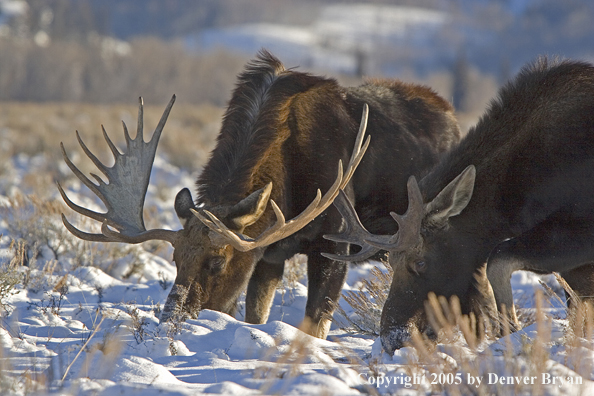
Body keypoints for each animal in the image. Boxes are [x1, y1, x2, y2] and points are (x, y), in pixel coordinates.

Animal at [59, 51, 458, 338]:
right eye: (174, 258)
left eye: (217, 261)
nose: (171, 320)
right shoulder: (269, 254)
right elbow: (256, 315)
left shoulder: (337, 243)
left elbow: (315, 325)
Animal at [326, 57, 592, 352]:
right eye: (391, 262)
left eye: (420, 262)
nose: (393, 337)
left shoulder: (580, 231)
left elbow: (497, 260)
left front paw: (510, 334)